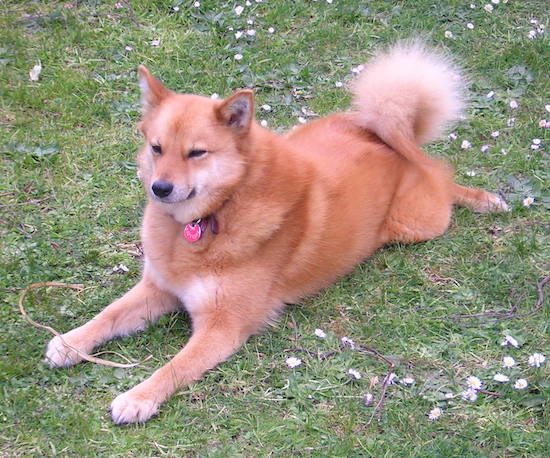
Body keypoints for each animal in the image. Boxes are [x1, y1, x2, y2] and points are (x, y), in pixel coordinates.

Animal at [46, 43, 508, 422]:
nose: (160, 188)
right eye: (156, 148)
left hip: (418, 223)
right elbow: (108, 315)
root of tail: (384, 134)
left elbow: (174, 366)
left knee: (443, 177)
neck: (215, 214)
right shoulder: (159, 287)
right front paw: (70, 342)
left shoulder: (222, 326)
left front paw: (139, 397)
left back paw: (483, 199)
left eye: (197, 153)